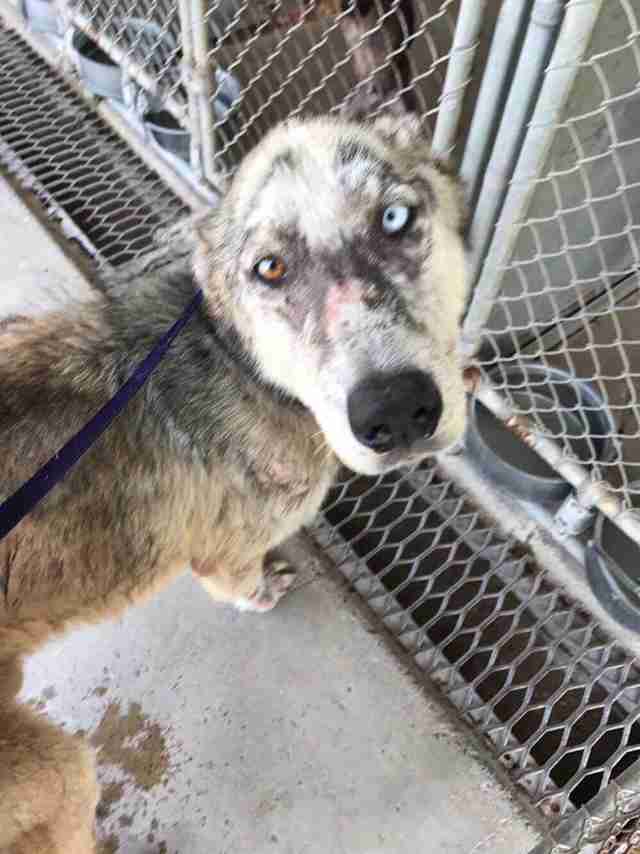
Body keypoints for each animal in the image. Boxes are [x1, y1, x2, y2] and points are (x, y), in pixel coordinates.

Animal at [1, 110, 470, 852]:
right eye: (268, 268)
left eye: (395, 217)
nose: (395, 411)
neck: (238, 361)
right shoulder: (225, 551)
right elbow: (237, 583)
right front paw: (263, 593)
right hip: (55, 769)